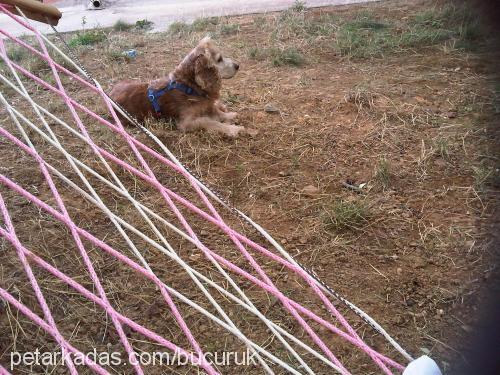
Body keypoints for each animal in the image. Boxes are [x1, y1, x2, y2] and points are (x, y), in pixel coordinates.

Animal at [109, 35, 246, 137]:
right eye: (219, 59)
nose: (238, 65)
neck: (188, 85)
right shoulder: (186, 122)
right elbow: (209, 121)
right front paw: (233, 129)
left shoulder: (206, 105)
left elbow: (216, 112)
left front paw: (230, 116)